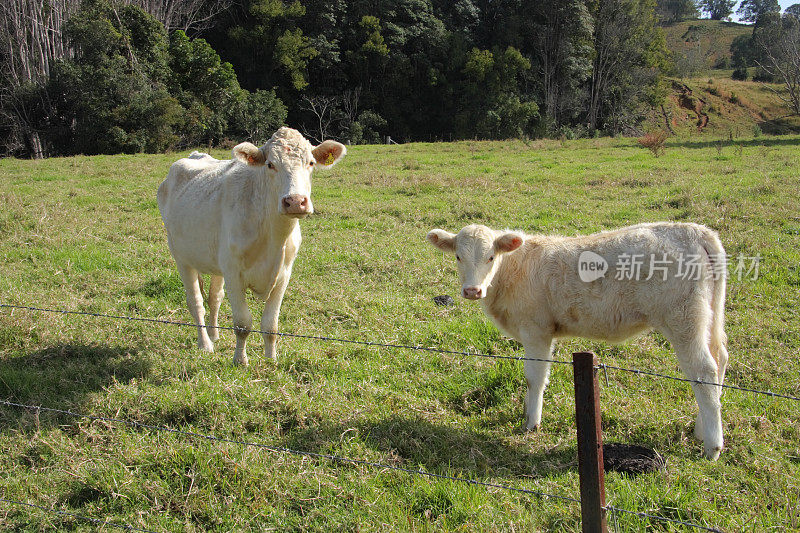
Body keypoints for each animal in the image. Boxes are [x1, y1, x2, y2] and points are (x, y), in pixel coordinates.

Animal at [158, 125, 346, 366]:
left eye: (311, 163)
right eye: (270, 164)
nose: (295, 201)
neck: (273, 238)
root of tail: (195, 155)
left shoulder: (284, 274)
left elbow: (271, 325)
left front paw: (271, 360)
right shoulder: (233, 273)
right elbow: (242, 324)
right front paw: (240, 360)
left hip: (215, 260)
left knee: (214, 298)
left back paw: (214, 334)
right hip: (180, 256)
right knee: (196, 301)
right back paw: (205, 344)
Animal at [432, 220, 732, 458]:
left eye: (491, 257)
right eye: (458, 256)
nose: (472, 290)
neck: (514, 270)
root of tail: (695, 231)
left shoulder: (536, 330)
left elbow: (534, 377)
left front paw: (531, 423)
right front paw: (527, 412)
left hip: (683, 320)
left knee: (704, 371)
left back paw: (713, 447)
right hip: (707, 317)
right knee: (719, 360)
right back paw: (701, 430)